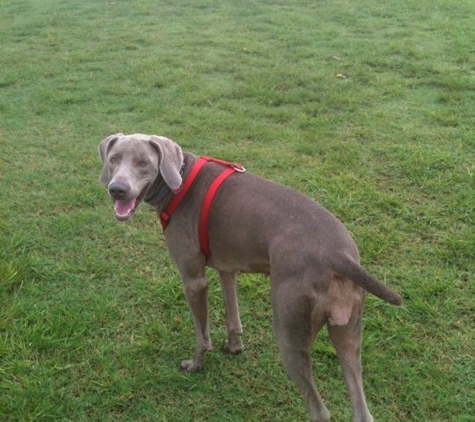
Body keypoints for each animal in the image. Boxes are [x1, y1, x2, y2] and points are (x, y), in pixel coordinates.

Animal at [99, 133, 402, 422]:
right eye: (113, 159)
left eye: (143, 162)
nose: (117, 189)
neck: (180, 181)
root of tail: (339, 254)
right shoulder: (227, 268)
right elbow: (233, 318)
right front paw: (234, 347)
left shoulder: (193, 280)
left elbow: (201, 335)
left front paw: (195, 364)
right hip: (349, 326)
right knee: (361, 409)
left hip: (289, 329)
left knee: (319, 410)